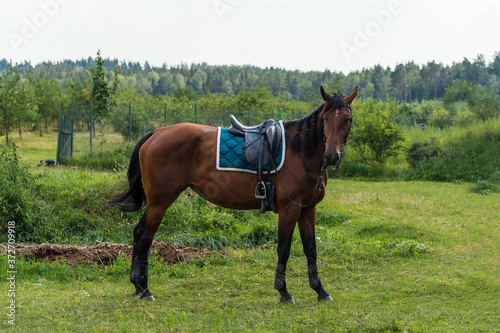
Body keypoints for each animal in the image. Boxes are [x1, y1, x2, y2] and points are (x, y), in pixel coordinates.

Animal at [111, 85, 358, 304]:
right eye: (325, 119)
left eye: (347, 119)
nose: (332, 155)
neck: (300, 152)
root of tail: (155, 133)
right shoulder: (289, 208)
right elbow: (284, 249)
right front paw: (284, 292)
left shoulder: (307, 208)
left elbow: (310, 249)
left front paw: (320, 290)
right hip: (160, 202)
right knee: (144, 236)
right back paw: (145, 289)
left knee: (138, 233)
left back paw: (138, 286)